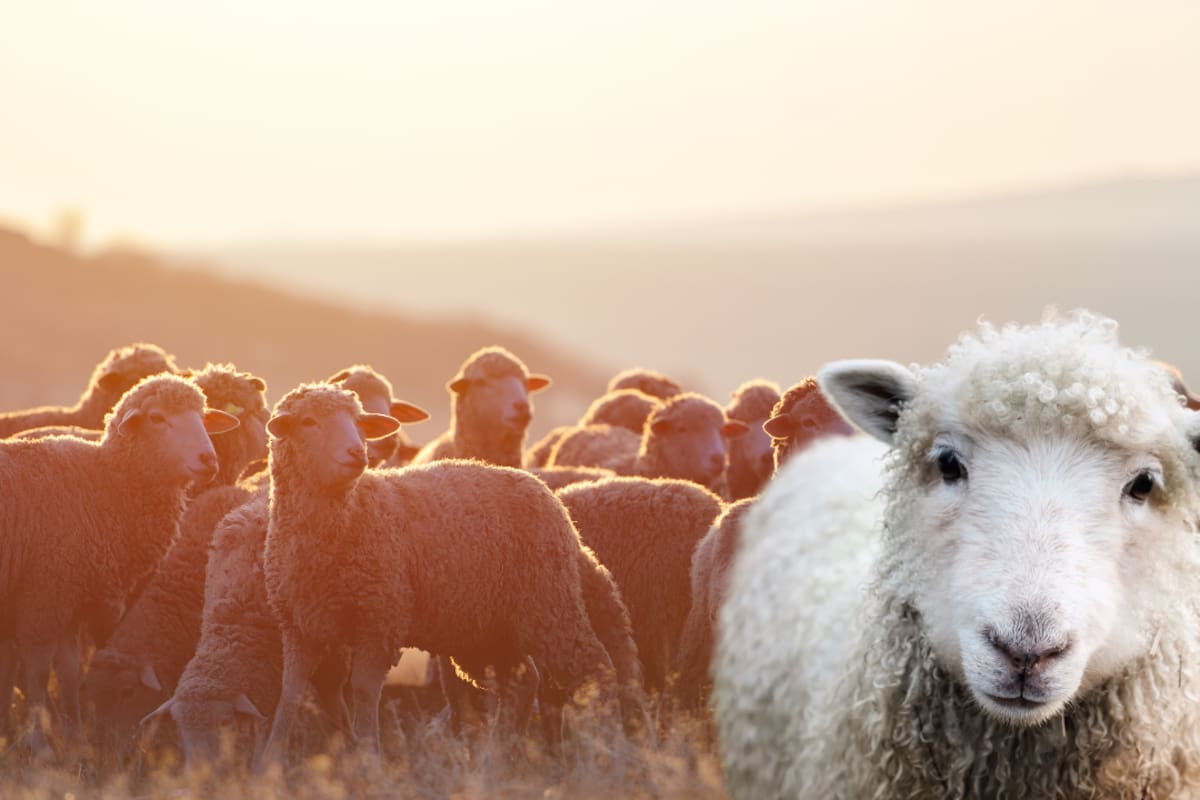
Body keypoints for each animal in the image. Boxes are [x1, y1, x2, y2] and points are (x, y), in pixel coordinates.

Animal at [0, 375, 239, 743]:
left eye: (203, 417)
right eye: (157, 418)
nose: (208, 460)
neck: (103, 482)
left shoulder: (72, 599)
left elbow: (69, 672)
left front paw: (73, 734)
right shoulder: (44, 599)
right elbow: (38, 673)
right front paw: (39, 741)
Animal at [258, 383, 618, 761]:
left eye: (358, 423)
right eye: (309, 422)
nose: (357, 452)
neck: (350, 514)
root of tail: (550, 497)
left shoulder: (379, 621)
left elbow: (364, 692)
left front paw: (369, 758)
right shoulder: (298, 627)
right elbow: (290, 694)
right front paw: (270, 760)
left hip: (548, 602)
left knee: (594, 667)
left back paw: (605, 747)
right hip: (487, 626)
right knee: (523, 683)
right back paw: (500, 755)